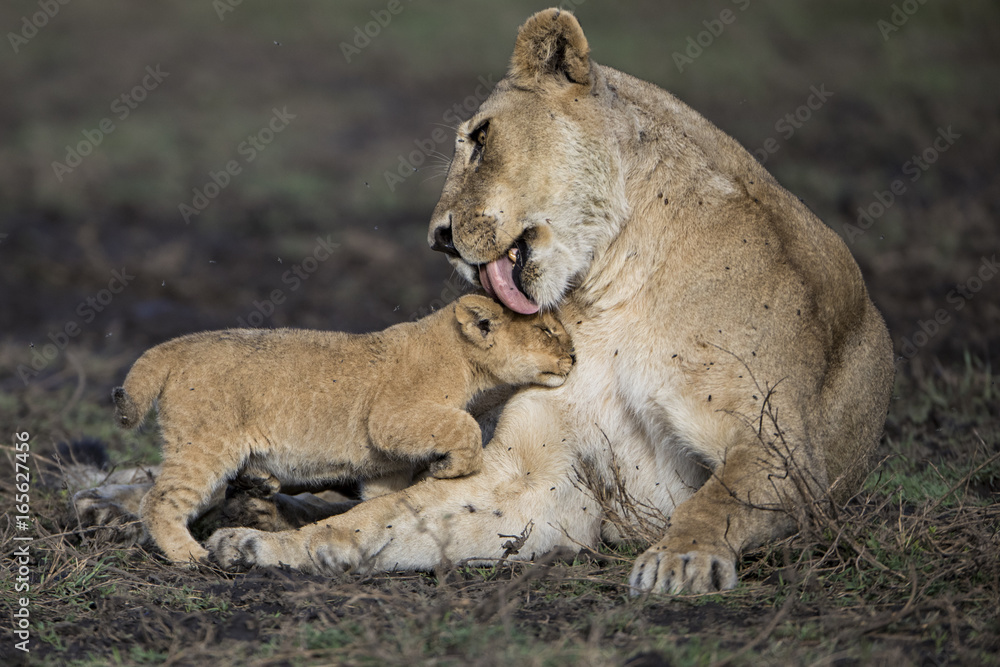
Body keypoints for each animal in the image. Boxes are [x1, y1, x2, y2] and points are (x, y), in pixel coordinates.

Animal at [108, 294, 574, 563]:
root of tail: (174, 346)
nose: (573, 357)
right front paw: (450, 467)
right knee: (157, 500)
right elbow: (465, 426)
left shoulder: (387, 463)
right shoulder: (391, 418)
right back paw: (190, 555)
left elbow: (381, 502)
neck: (461, 358)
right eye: (547, 331)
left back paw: (258, 483)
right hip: (204, 445)